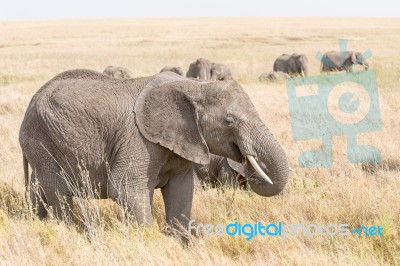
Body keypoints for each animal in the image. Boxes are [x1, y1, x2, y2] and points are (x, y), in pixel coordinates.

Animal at [20, 69, 290, 234]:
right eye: (229, 121)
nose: (248, 160)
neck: (195, 87)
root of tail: (31, 101)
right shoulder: (138, 140)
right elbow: (126, 189)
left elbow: (181, 192)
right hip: (41, 140)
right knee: (59, 193)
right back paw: (73, 231)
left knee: (39, 188)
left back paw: (36, 223)